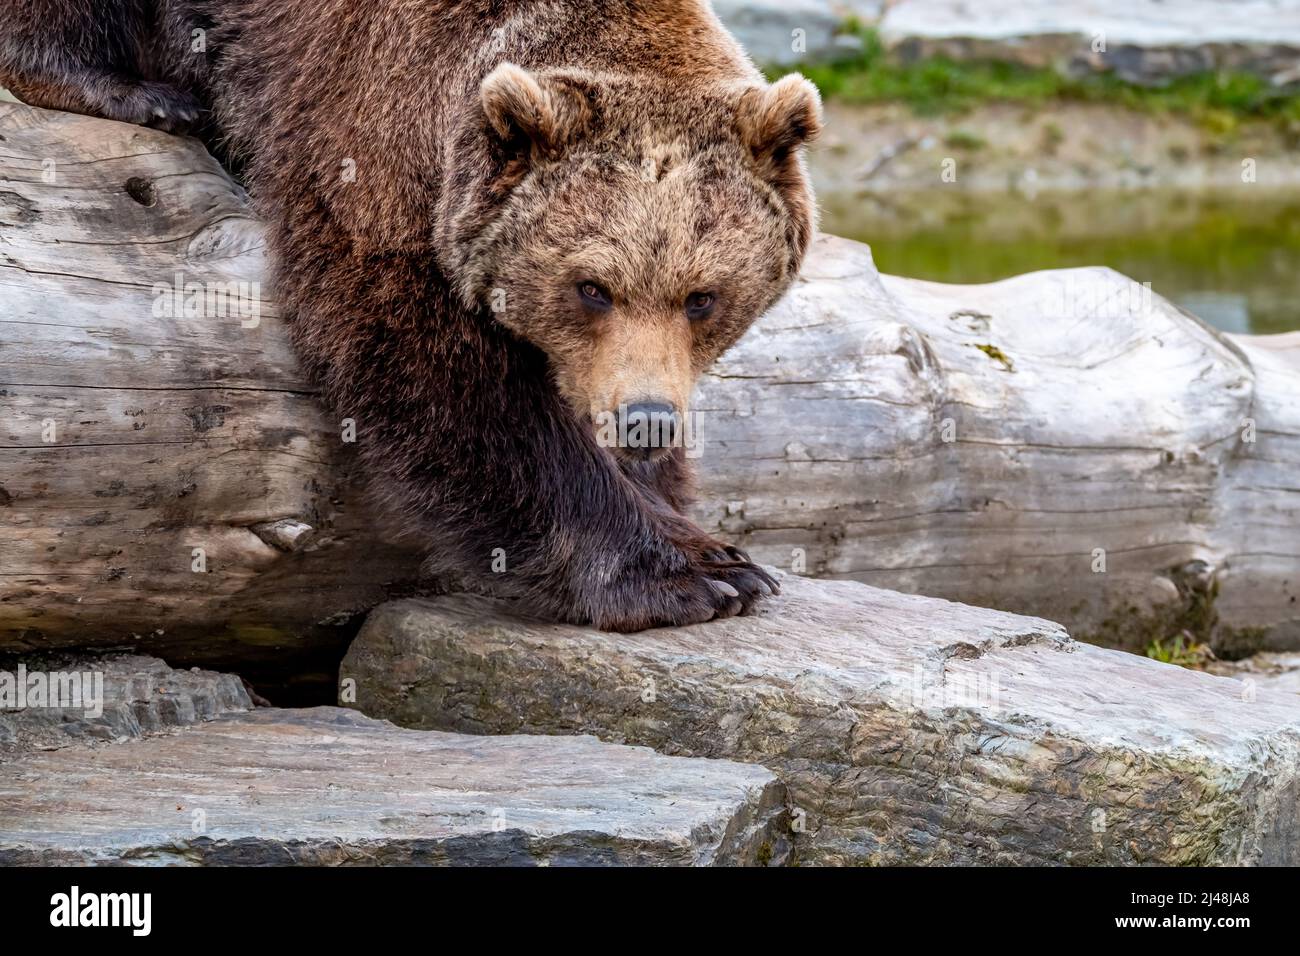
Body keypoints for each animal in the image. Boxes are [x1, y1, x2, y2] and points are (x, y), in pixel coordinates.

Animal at [5, 3, 821, 632]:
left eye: (702, 296)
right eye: (592, 287)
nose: (645, 419)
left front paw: (714, 546)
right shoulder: (373, 144)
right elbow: (450, 382)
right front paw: (678, 577)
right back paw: (132, 91)